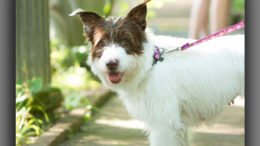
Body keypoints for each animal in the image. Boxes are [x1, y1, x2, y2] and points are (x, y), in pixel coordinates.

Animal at [70, 0, 245, 145]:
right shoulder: (177, 125)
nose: (111, 63)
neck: (150, 64)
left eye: (125, 41)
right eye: (102, 43)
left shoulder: (165, 124)